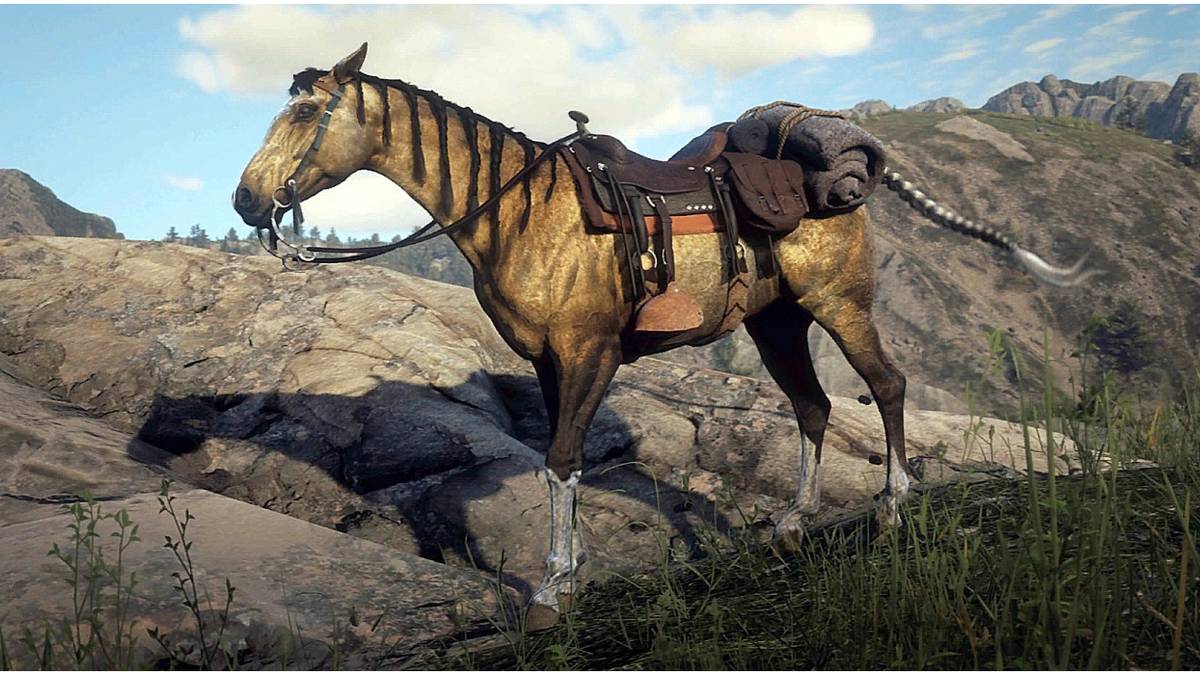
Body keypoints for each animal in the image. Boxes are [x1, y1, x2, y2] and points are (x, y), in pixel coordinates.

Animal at [233, 44, 1094, 628]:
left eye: (306, 112)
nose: (245, 199)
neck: (518, 211)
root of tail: (837, 174)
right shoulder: (550, 361)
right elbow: (563, 461)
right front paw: (572, 569)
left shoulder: (590, 350)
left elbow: (562, 460)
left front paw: (553, 587)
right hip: (777, 322)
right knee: (814, 408)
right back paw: (790, 525)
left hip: (841, 305)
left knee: (885, 385)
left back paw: (891, 510)